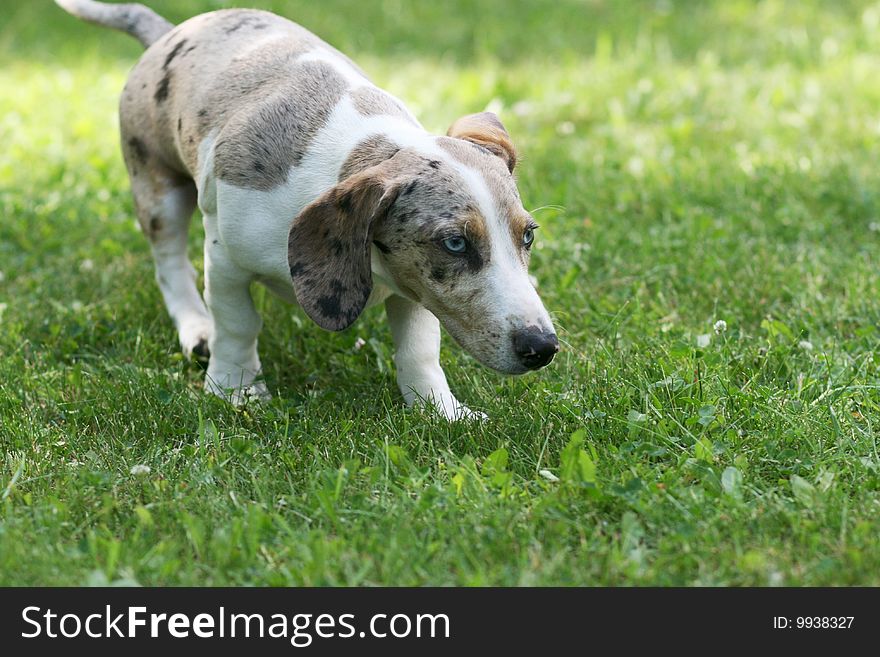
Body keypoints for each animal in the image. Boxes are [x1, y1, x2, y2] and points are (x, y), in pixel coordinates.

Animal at [55, 1, 556, 420]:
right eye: (455, 243)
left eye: (528, 235)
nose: (543, 347)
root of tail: (171, 32)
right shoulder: (226, 259)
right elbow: (238, 324)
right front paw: (234, 388)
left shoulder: (415, 287)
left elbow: (419, 349)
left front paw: (440, 410)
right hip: (158, 190)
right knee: (170, 265)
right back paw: (196, 329)